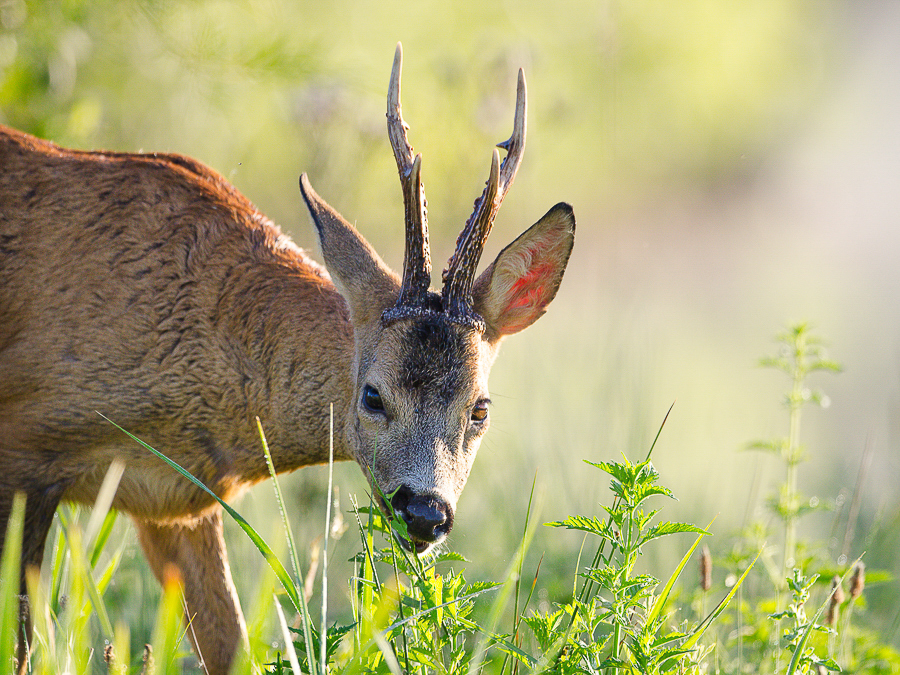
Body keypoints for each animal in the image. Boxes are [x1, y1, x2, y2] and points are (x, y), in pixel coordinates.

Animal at [0, 45, 576, 672]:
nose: (425, 513)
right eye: (372, 395)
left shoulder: (175, 502)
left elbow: (230, 645)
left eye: (480, 409)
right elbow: (20, 645)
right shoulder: (24, 452)